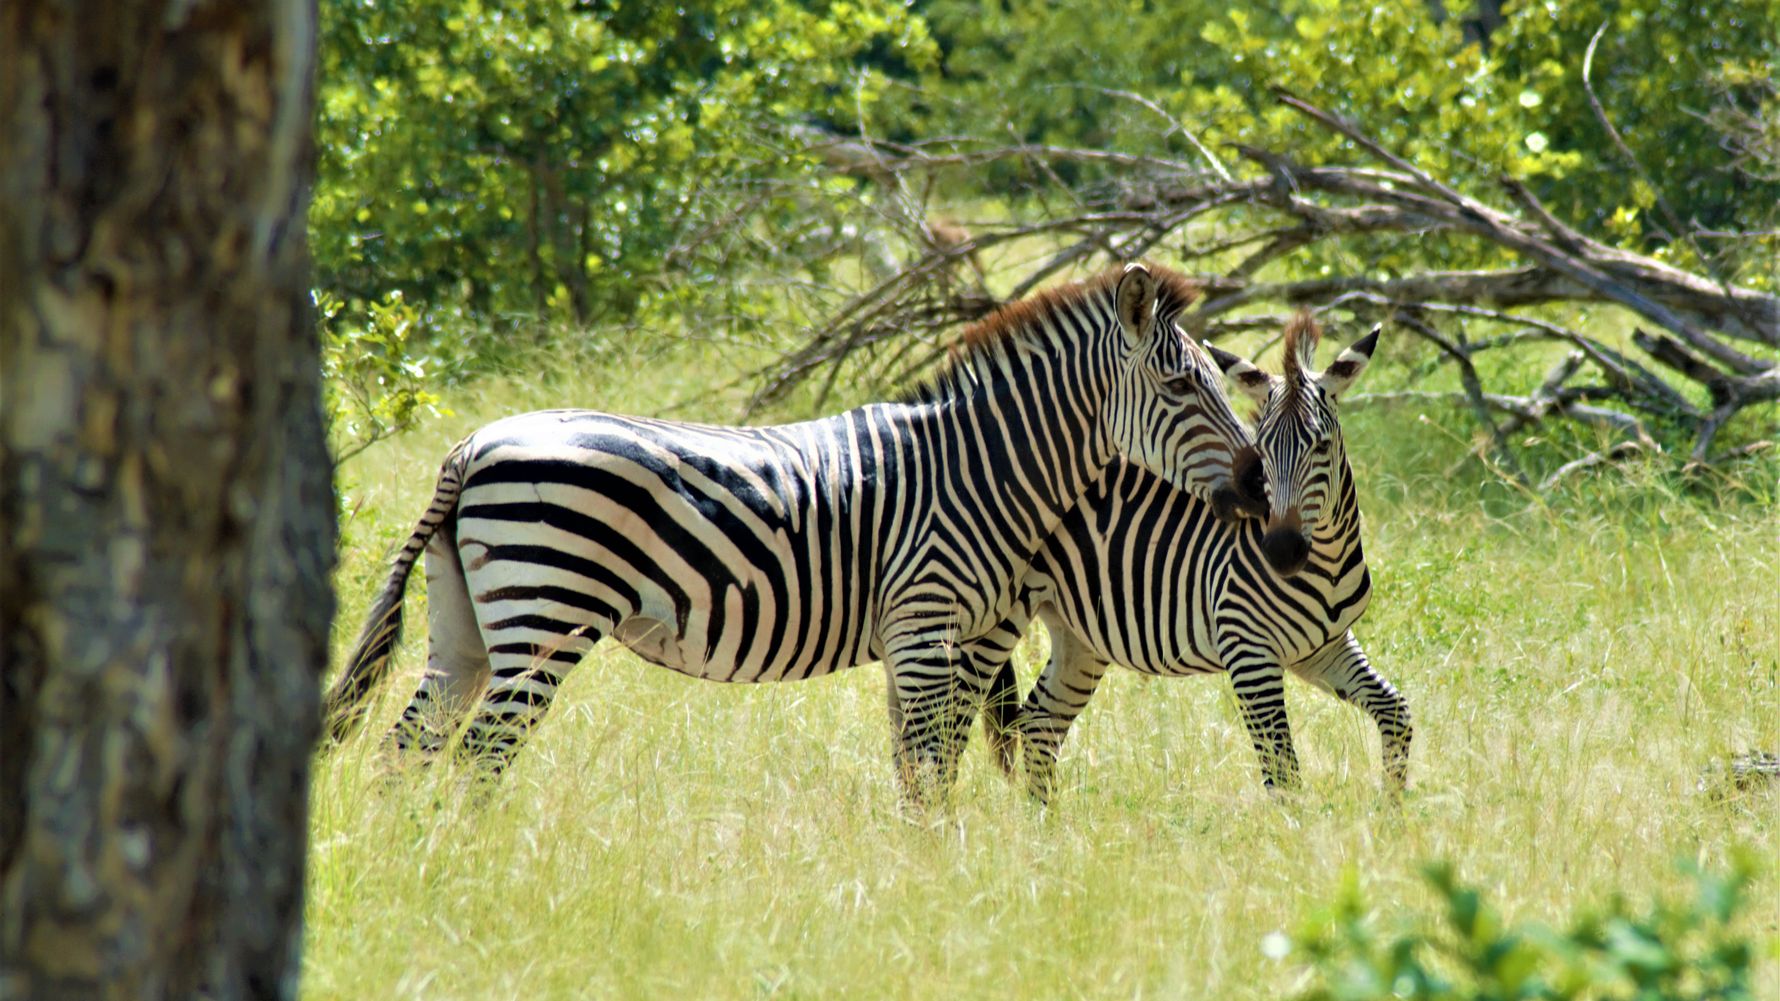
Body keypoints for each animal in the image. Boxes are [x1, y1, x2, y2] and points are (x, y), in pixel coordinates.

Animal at [321, 263, 1264, 803]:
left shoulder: (924, 638)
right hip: (544, 613)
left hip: (466, 630)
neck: (979, 468)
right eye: (1183, 387)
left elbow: (921, 767)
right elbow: (929, 771)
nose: (1259, 485)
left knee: (405, 752)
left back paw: (419, 873)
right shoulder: (926, 626)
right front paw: (936, 878)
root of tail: (470, 446)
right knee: (477, 758)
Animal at [975, 311, 1411, 799]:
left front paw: (1390, 808)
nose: (1280, 552)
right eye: (1261, 447)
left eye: (1321, 446)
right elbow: (1283, 773)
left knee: (1037, 722)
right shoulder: (1249, 651)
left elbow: (1396, 711)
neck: (1329, 565)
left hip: (1078, 633)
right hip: (990, 620)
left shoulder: (1322, 647)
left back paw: (1046, 820)